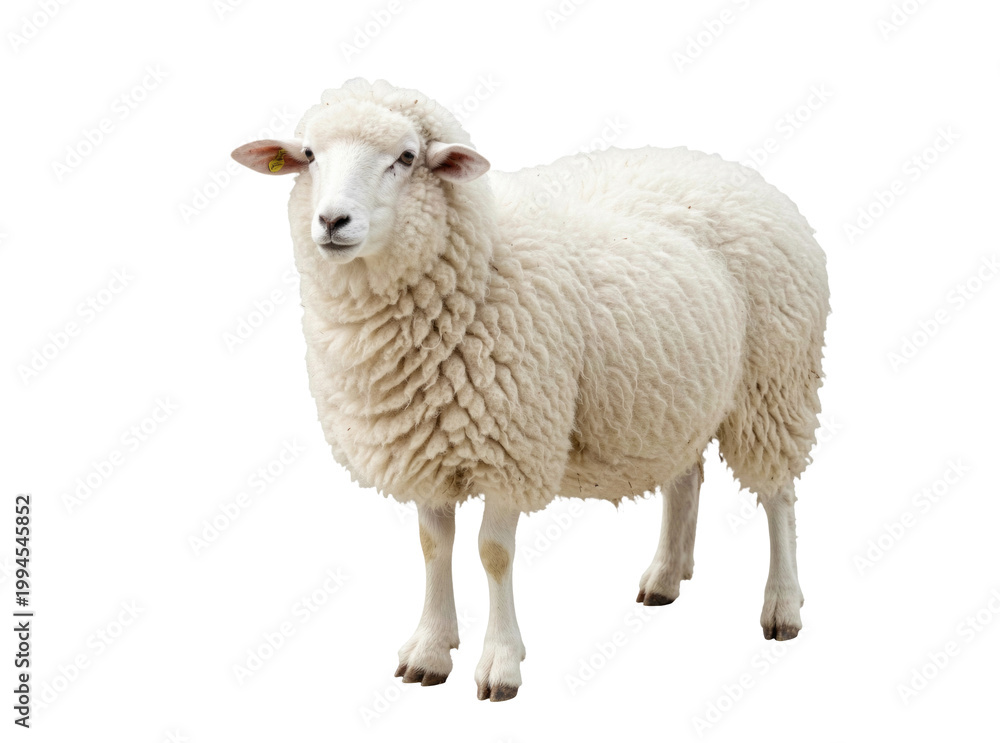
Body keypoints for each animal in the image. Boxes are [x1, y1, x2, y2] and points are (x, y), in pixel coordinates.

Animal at [231, 78, 830, 702]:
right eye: (309, 155)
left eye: (407, 157)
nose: (332, 221)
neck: (482, 260)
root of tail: (734, 170)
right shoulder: (422, 442)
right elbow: (433, 547)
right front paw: (430, 650)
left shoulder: (512, 446)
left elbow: (493, 554)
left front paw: (500, 662)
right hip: (675, 394)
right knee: (685, 477)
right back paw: (666, 576)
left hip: (774, 384)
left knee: (779, 496)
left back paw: (782, 605)